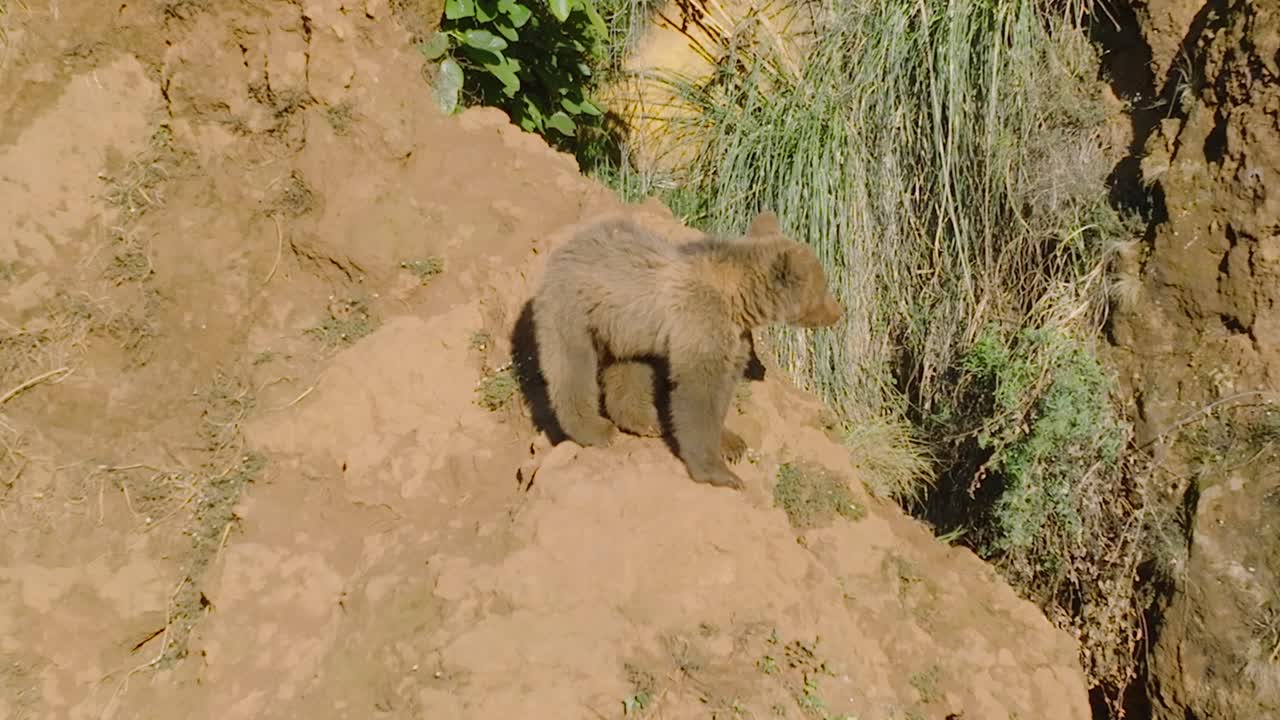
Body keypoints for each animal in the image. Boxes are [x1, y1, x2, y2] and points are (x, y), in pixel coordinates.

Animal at [529, 210, 842, 490]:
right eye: (824, 287)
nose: (839, 311)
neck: (736, 302)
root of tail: (567, 244)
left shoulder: (733, 337)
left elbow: (722, 391)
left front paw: (731, 443)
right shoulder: (701, 323)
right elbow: (698, 394)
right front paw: (722, 474)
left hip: (627, 330)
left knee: (628, 370)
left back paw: (646, 421)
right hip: (574, 309)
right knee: (572, 367)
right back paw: (596, 430)